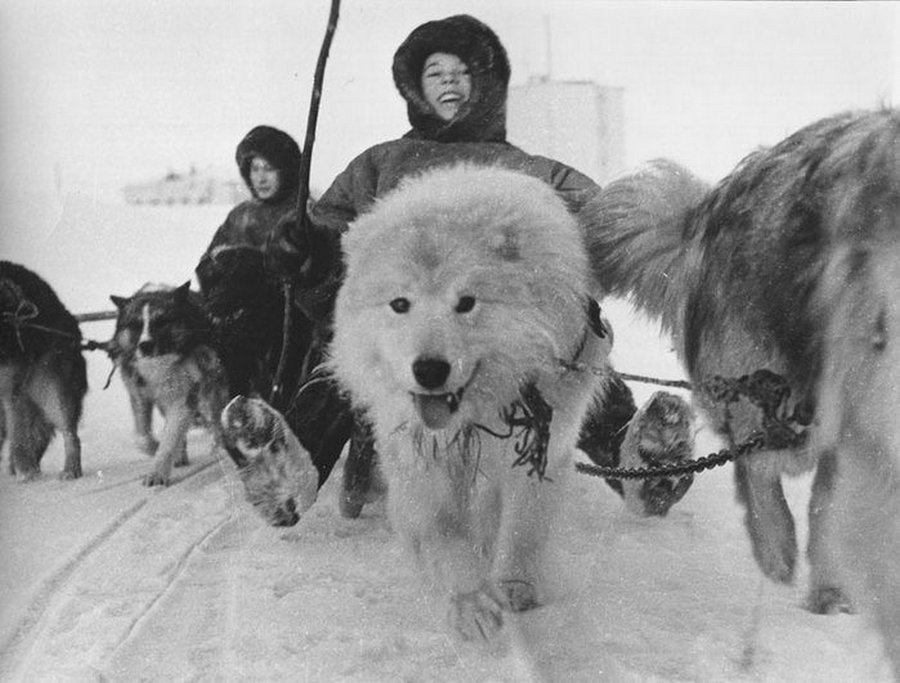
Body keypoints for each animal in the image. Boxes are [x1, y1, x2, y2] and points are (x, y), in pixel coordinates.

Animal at [109, 282, 230, 486]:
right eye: (135, 325)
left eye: (161, 322)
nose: (145, 346)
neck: (161, 364)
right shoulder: (139, 394)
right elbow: (142, 438)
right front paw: (155, 448)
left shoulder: (182, 399)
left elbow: (170, 437)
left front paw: (157, 472)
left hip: (210, 387)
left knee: (215, 418)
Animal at [330, 166, 612, 640]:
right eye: (400, 304)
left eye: (466, 303)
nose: (429, 370)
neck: (471, 418)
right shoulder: (418, 463)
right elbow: (444, 541)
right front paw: (471, 601)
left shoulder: (540, 452)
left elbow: (521, 529)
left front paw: (515, 586)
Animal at [588, 109, 900, 672]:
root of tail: (710, 210)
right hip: (766, 381)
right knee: (757, 464)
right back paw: (775, 548)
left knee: (819, 492)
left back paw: (825, 587)